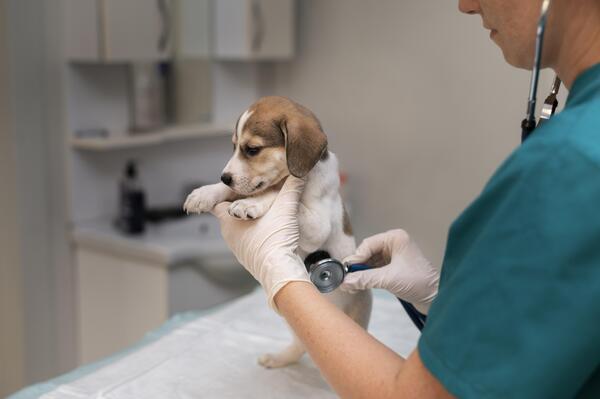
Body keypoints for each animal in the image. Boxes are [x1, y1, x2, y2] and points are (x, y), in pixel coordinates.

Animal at [183, 96, 370, 368]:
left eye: (252, 149)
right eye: (234, 147)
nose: (224, 176)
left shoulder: (318, 224)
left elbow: (276, 192)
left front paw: (250, 203)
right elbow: (246, 190)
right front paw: (205, 193)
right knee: (300, 344)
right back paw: (277, 359)